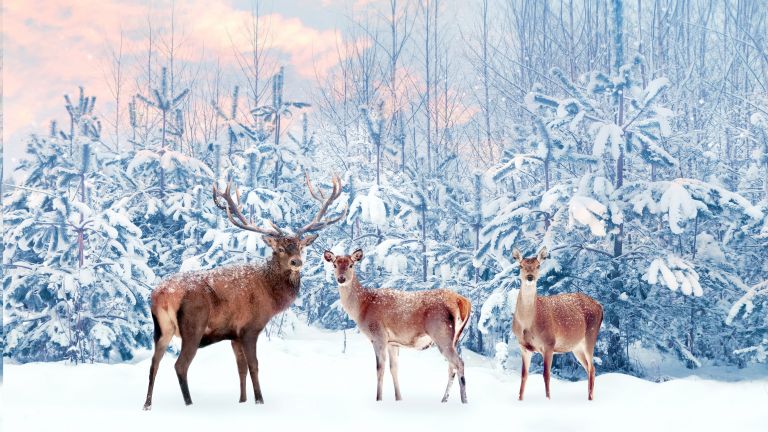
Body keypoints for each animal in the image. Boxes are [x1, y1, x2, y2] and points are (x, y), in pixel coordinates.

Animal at [142, 173, 346, 408]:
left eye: (301, 247)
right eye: (280, 248)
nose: (297, 262)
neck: (270, 296)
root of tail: (162, 295)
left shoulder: (234, 335)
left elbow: (240, 368)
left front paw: (242, 401)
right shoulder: (250, 328)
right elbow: (254, 366)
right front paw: (259, 401)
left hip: (161, 330)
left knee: (153, 363)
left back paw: (147, 405)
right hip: (193, 325)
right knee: (180, 365)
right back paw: (189, 403)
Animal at [322, 248, 472, 404]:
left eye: (351, 265)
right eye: (334, 265)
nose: (341, 279)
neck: (362, 307)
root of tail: (462, 301)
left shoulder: (378, 336)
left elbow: (379, 369)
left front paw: (378, 399)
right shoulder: (392, 342)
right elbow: (394, 368)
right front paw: (399, 399)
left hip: (441, 333)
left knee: (459, 363)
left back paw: (464, 401)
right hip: (455, 337)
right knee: (451, 367)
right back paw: (444, 400)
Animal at [512, 246, 604, 402]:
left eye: (538, 265)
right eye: (520, 266)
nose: (530, 277)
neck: (527, 324)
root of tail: (600, 306)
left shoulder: (549, 343)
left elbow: (546, 375)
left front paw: (548, 400)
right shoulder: (523, 346)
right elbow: (524, 376)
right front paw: (519, 400)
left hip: (591, 335)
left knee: (592, 367)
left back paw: (590, 399)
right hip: (576, 346)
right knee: (589, 368)